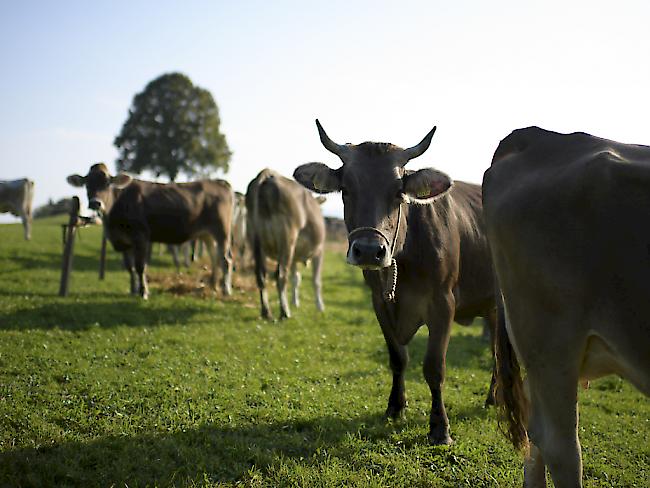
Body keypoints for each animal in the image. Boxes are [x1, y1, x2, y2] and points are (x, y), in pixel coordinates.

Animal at [66, 163, 232, 298]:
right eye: (87, 184)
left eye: (107, 183)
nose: (96, 203)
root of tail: (218, 182)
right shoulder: (123, 241)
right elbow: (130, 267)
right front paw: (133, 290)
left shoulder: (140, 236)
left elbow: (140, 266)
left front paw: (143, 292)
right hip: (206, 233)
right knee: (215, 257)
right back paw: (213, 285)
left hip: (222, 230)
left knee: (226, 259)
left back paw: (225, 289)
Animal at [244, 168, 324, 320]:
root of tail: (267, 174)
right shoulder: (318, 252)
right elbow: (316, 281)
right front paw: (320, 306)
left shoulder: (294, 256)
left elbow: (296, 278)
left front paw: (295, 302)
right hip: (287, 237)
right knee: (280, 276)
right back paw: (284, 312)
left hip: (256, 239)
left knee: (261, 275)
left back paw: (266, 312)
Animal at [294, 120, 496, 444]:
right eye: (346, 190)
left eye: (399, 193)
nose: (368, 250)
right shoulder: (379, 302)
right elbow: (398, 357)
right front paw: (395, 407)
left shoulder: (443, 303)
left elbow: (434, 366)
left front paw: (440, 428)